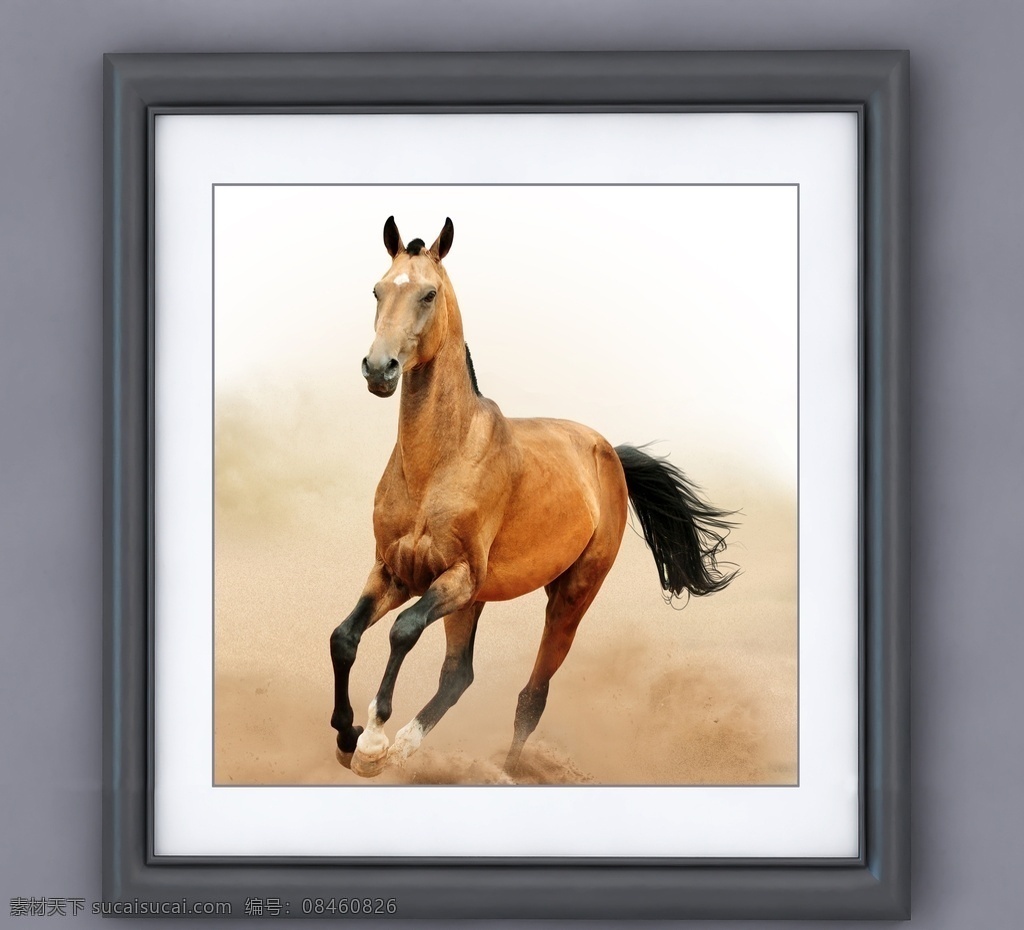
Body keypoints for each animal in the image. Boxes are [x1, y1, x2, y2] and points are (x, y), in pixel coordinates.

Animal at [330, 216, 736, 778]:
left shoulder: (454, 577)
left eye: (429, 294)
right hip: (475, 600)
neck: (437, 464)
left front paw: (372, 742)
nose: (378, 369)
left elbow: (403, 632)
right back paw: (412, 746)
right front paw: (348, 738)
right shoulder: (394, 570)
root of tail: (608, 452)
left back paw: (501, 770)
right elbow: (344, 637)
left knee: (532, 696)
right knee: (458, 675)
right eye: (378, 289)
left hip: (568, 596)